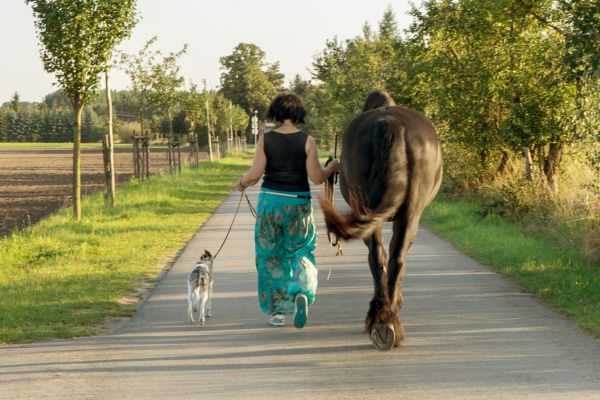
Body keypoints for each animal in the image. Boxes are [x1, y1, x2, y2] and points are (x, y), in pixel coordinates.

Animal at [322, 90, 442, 350]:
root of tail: (391, 125)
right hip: (410, 213)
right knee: (393, 257)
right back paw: (387, 319)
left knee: (382, 257)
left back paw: (383, 321)